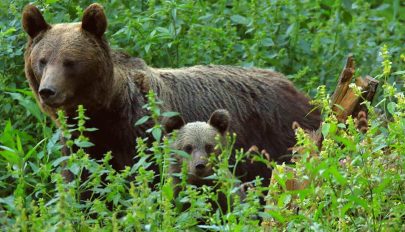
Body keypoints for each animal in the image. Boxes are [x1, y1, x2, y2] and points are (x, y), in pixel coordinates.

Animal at [22, 3, 320, 187]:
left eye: (70, 62)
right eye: (43, 60)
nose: (48, 91)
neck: (107, 111)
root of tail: (298, 90)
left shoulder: (142, 135)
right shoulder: (81, 142)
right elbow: (81, 182)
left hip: (280, 137)